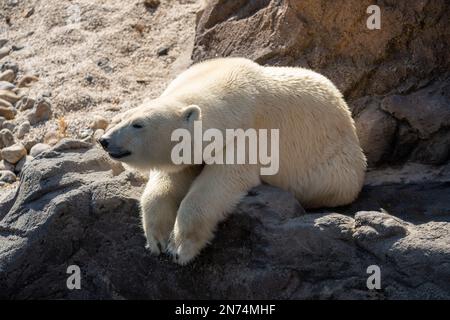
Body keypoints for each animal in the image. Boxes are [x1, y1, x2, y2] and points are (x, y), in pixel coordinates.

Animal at [98, 57, 366, 264]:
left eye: (138, 124)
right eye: (121, 118)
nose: (104, 140)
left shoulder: (248, 136)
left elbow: (220, 182)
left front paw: (180, 248)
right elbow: (169, 180)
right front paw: (157, 240)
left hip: (336, 165)